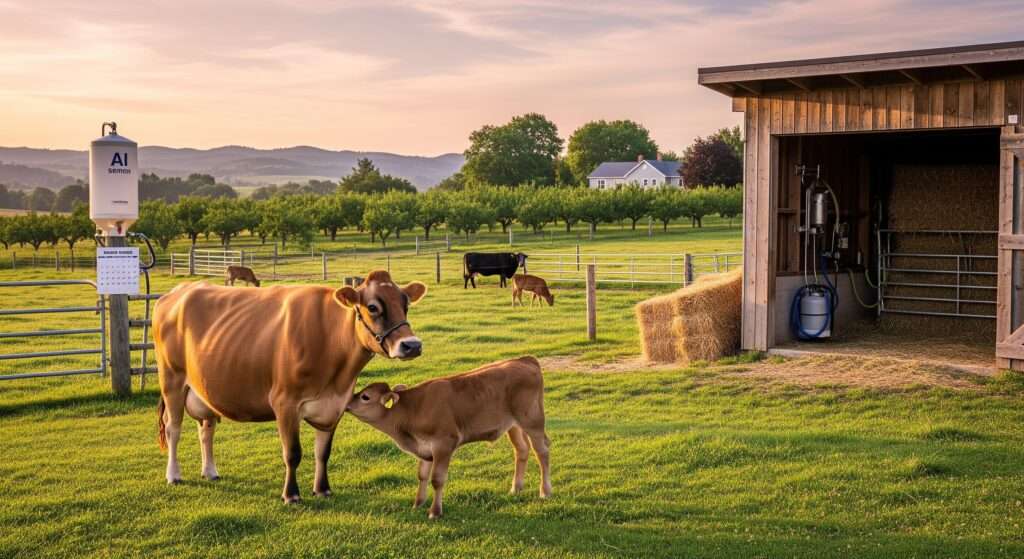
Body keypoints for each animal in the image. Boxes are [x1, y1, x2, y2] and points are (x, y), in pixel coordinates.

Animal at [153, 270, 427, 503]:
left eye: (406, 305)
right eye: (372, 307)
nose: (412, 345)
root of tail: (177, 291)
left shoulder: (335, 405)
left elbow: (323, 452)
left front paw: (323, 489)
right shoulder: (285, 403)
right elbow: (292, 453)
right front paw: (291, 494)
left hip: (204, 388)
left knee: (206, 428)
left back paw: (210, 471)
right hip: (172, 380)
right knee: (173, 428)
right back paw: (173, 475)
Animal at [346, 356, 551, 519]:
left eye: (365, 397)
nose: (347, 403)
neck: (412, 410)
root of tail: (525, 360)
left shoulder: (444, 444)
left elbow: (437, 479)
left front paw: (434, 512)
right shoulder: (424, 448)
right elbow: (422, 476)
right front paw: (417, 504)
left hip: (532, 420)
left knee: (542, 451)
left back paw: (545, 491)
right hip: (513, 425)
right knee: (522, 450)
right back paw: (516, 488)